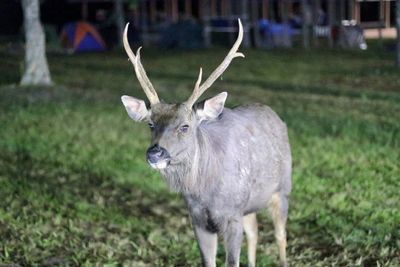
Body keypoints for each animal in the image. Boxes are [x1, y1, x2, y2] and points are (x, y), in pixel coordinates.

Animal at [120, 19, 292, 267]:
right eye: (150, 124)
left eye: (185, 126)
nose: (155, 153)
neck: (205, 193)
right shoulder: (198, 218)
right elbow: (208, 260)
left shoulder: (232, 214)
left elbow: (232, 261)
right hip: (249, 204)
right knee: (255, 231)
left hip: (283, 188)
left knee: (280, 235)